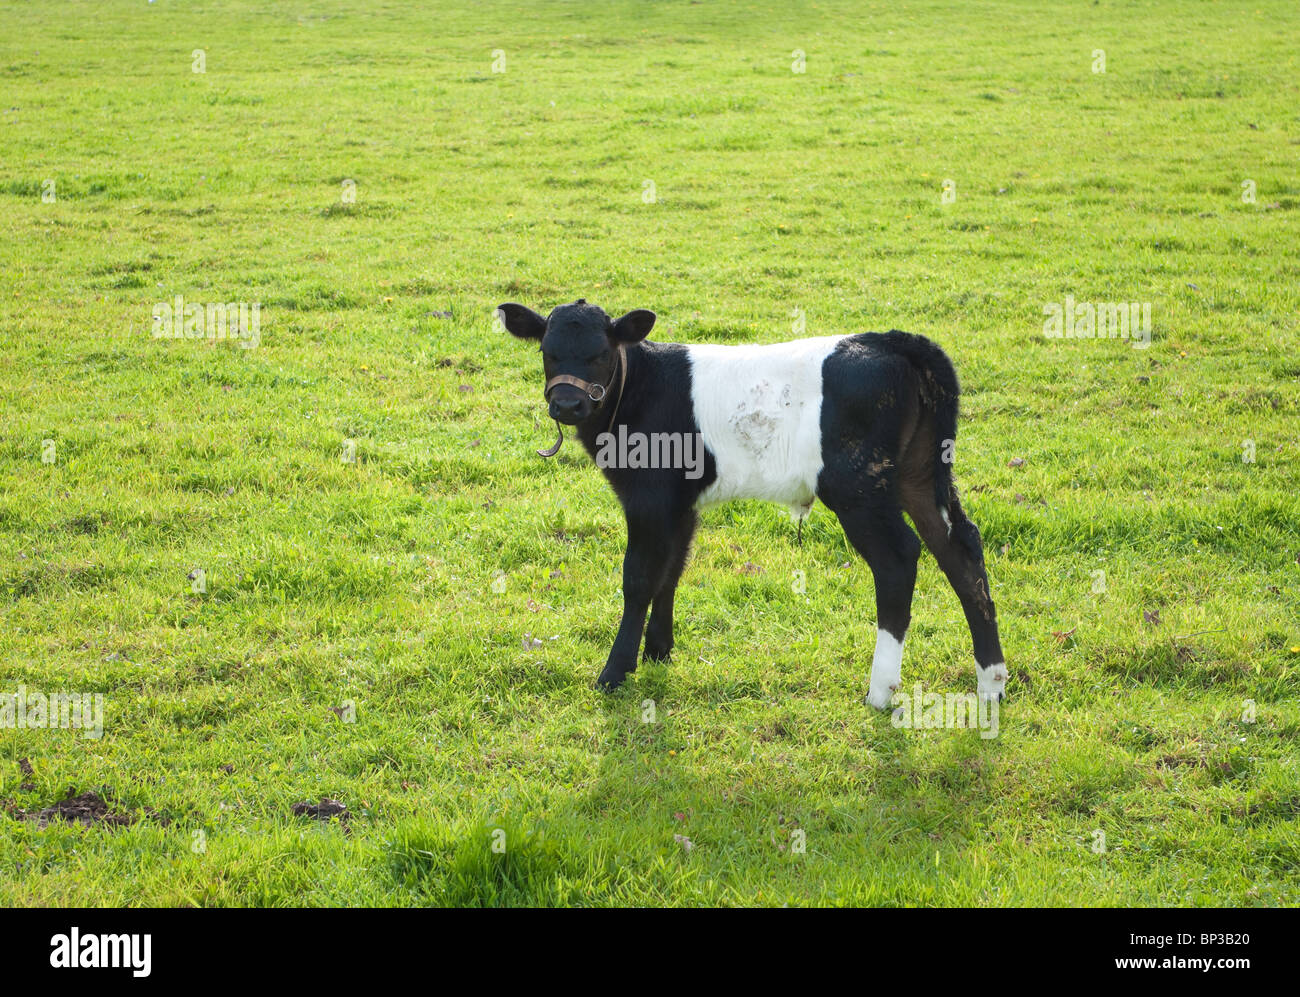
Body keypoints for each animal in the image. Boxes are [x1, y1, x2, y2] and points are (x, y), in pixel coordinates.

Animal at [498, 299, 1008, 709]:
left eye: (600, 353)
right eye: (547, 351)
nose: (567, 405)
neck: (639, 391)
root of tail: (890, 341)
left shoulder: (648, 499)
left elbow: (639, 579)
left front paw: (615, 671)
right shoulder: (680, 505)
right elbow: (671, 571)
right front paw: (660, 650)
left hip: (858, 486)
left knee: (899, 558)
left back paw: (881, 691)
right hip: (921, 474)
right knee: (961, 549)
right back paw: (991, 682)